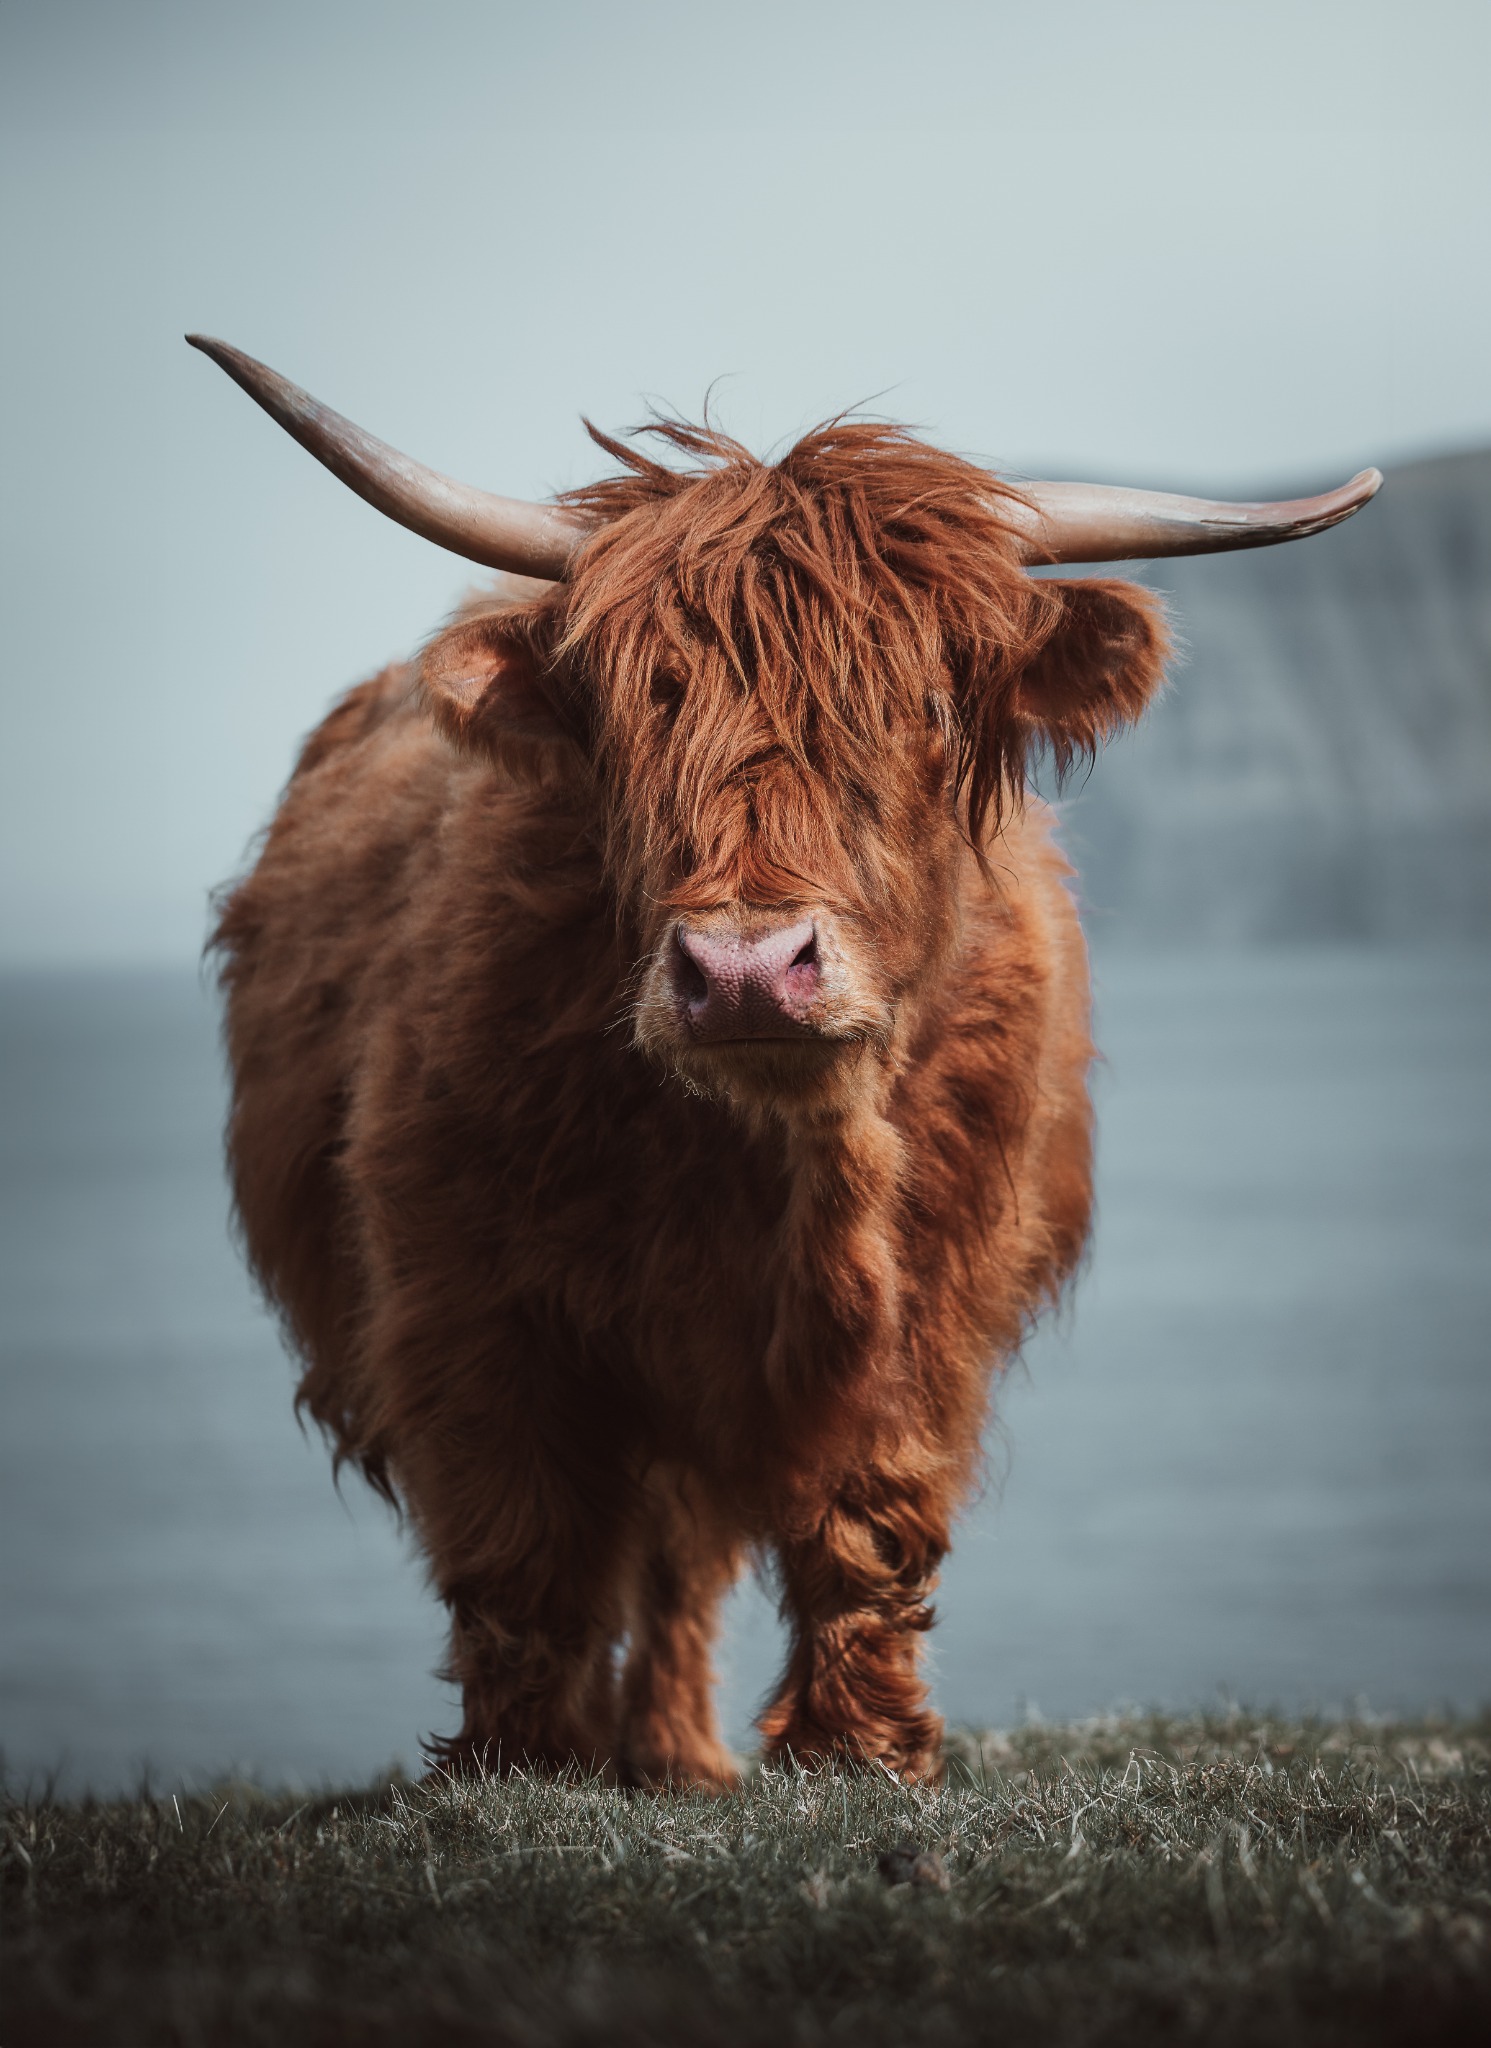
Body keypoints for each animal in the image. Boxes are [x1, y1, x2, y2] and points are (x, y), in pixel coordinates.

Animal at [193, 336, 1379, 1785]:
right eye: (629, 711)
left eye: (925, 704)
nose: (748, 969)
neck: (780, 1161)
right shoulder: (460, 1294)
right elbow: (521, 1541)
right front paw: (520, 1761)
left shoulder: (933, 1297)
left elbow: (868, 1517)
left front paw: (858, 1749)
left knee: (685, 1556)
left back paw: (677, 1756)